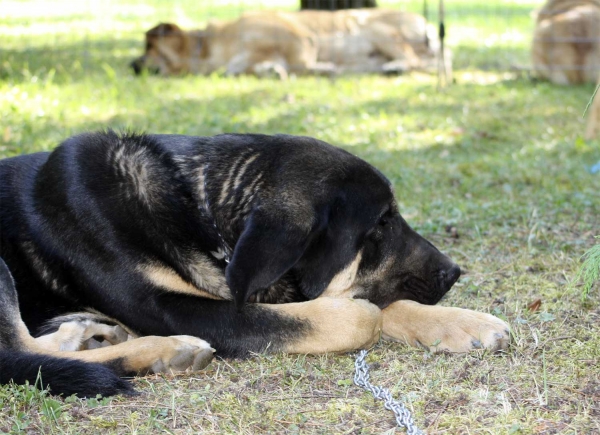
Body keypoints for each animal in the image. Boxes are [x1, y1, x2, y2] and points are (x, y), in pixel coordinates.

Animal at [0, 131, 508, 396]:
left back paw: (87, 333)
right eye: (381, 223)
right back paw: (163, 350)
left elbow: (383, 303)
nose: (453, 272)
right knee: (19, 353)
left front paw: (462, 323)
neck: (196, 209)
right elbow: (359, 314)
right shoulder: (173, 307)